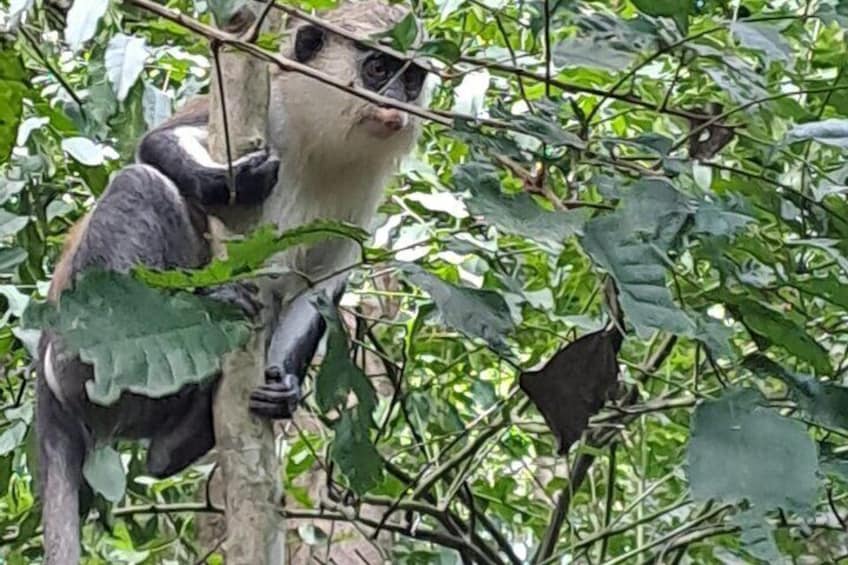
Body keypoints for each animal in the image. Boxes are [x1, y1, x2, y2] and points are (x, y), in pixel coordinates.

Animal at [34, 2, 430, 560]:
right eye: (377, 69)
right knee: (142, 184)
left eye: (411, 79)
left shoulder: (360, 201)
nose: (396, 107)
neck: (323, 141)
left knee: (158, 456)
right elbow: (153, 146)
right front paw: (222, 183)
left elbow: (319, 288)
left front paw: (283, 387)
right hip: (75, 369)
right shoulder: (261, 110)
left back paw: (181, 438)